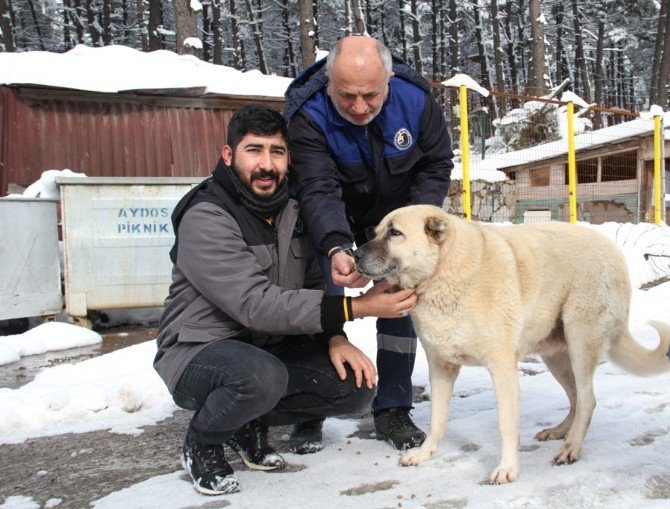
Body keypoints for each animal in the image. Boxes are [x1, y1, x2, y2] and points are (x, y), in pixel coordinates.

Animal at [356, 203, 670, 484]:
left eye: (395, 233)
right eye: (376, 231)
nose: (354, 253)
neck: (444, 271)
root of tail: (613, 250)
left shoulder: (503, 369)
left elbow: (506, 425)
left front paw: (507, 469)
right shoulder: (441, 368)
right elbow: (437, 420)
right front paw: (424, 454)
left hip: (580, 343)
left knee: (587, 400)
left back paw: (571, 447)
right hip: (556, 357)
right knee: (576, 399)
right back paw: (559, 431)